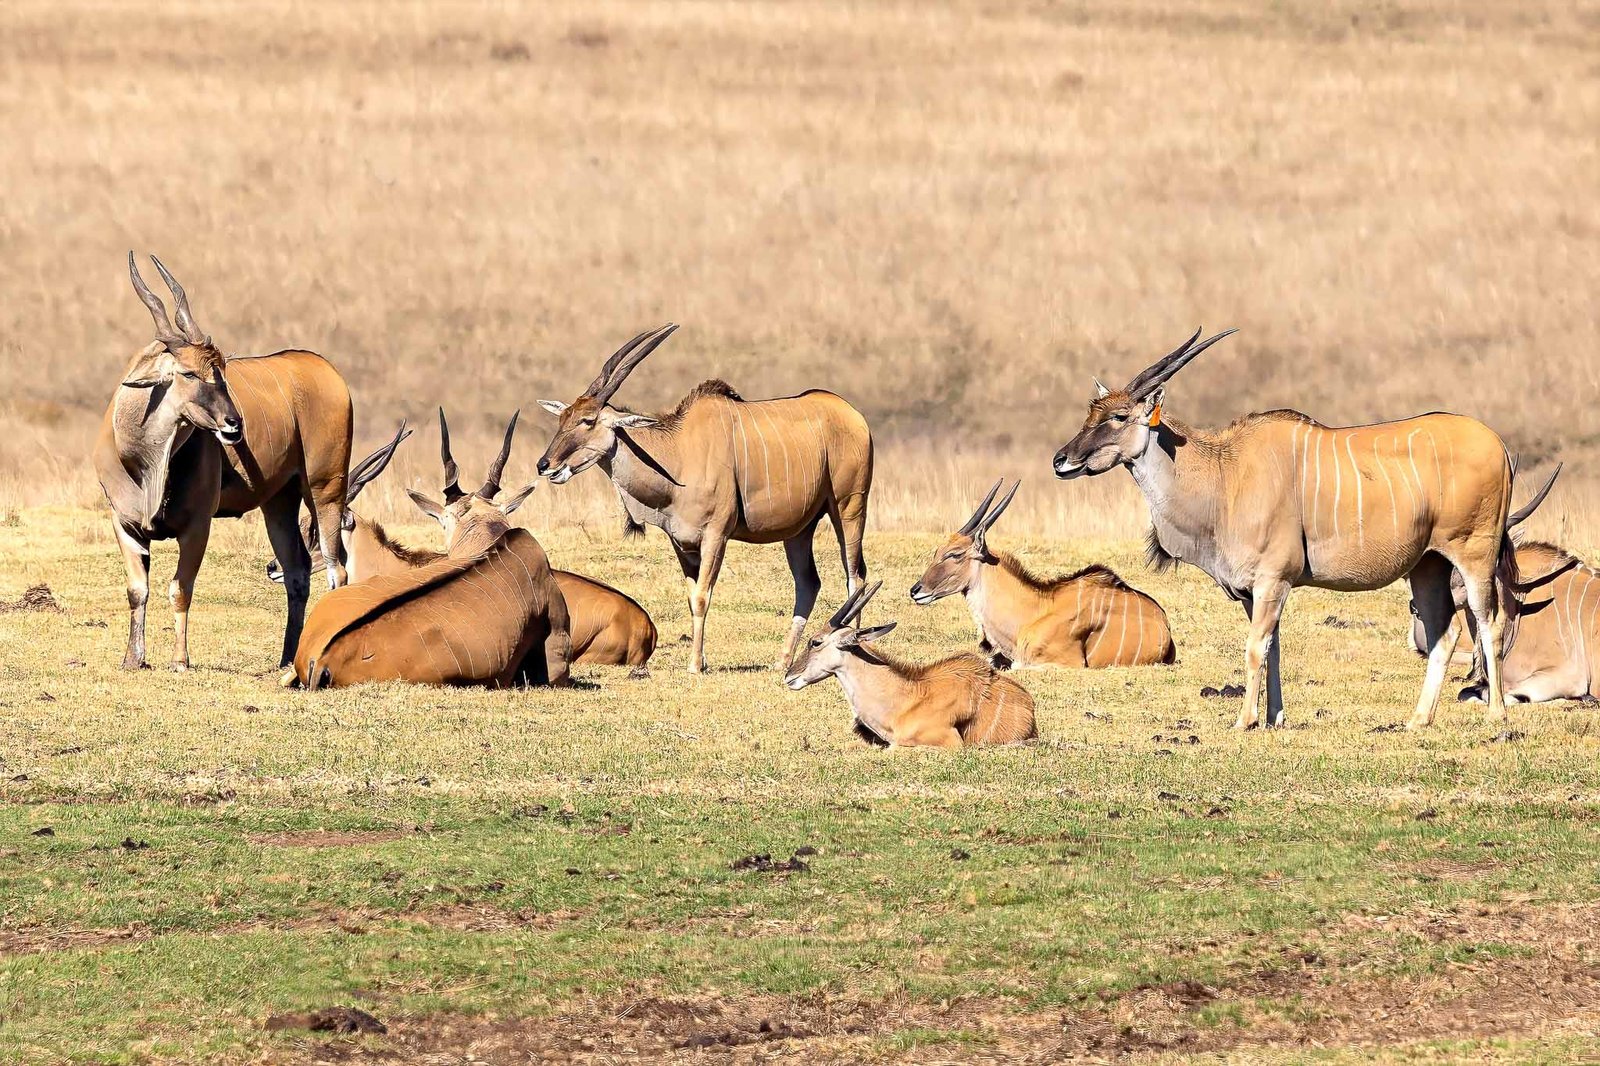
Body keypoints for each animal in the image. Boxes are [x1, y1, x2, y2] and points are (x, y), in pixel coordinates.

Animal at [93, 254, 352, 671]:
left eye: (222, 373)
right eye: (187, 373)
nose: (235, 424)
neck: (143, 462)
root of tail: (325, 370)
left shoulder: (197, 525)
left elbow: (180, 589)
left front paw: (180, 661)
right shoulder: (123, 522)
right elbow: (137, 589)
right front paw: (133, 659)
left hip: (325, 489)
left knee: (336, 569)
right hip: (278, 502)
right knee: (297, 572)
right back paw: (286, 657)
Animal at [535, 325, 873, 673]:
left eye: (588, 420)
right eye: (563, 418)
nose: (545, 465)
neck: (677, 454)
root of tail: (852, 414)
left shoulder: (715, 536)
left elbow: (701, 596)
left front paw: (695, 664)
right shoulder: (683, 543)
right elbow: (692, 595)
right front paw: (703, 660)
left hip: (849, 508)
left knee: (855, 577)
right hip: (798, 531)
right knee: (808, 583)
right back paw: (782, 661)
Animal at [910, 480, 1175, 668]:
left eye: (954, 554)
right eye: (937, 551)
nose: (916, 590)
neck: (1033, 610)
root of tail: (1164, 625)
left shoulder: (1065, 664)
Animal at [1052, 328, 1518, 730]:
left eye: (1119, 416)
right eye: (1091, 413)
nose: (1061, 460)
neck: (1224, 475)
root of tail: (1499, 445)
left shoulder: (1272, 581)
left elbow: (1256, 648)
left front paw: (1244, 720)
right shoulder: (1252, 591)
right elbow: (1272, 649)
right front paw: (1273, 717)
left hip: (1475, 555)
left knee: (1489, 622)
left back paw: (1496, 714)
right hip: (1427, 565)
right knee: (1446, 632)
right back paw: (1419, 719)